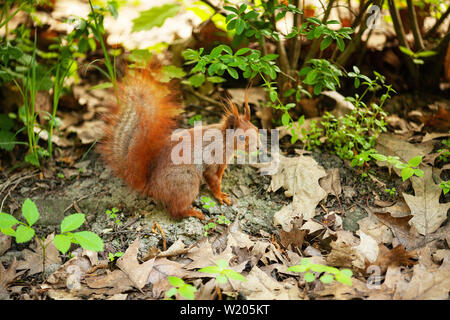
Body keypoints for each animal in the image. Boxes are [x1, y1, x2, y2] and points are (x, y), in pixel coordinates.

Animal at [98, 67, 260, 222]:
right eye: (241, 137)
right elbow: (213, 180)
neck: (224, 140)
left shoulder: (222, 165)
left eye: (257, 129)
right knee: (175, 211)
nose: (258, 147)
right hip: (187, 183)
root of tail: (151, 186)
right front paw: (220, 196)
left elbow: (218, 178)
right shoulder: (211, 160)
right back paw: (194, 213)